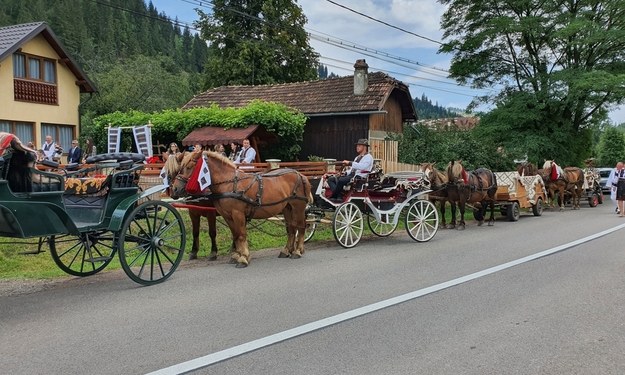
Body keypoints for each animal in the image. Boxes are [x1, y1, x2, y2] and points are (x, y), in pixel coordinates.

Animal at [168, 150, 312, 268]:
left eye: (189, 167)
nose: (175, 189)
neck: (229, 183)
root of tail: (300, 174)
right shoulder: (227, 216)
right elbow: (236, 235)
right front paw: (236, 256)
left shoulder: (237, 214)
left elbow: (242, 235)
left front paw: (243, 258)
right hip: (287, 208)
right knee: (291, 229)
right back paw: (286, 250)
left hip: (298, 207)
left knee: (301, 227)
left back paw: (297, 251)